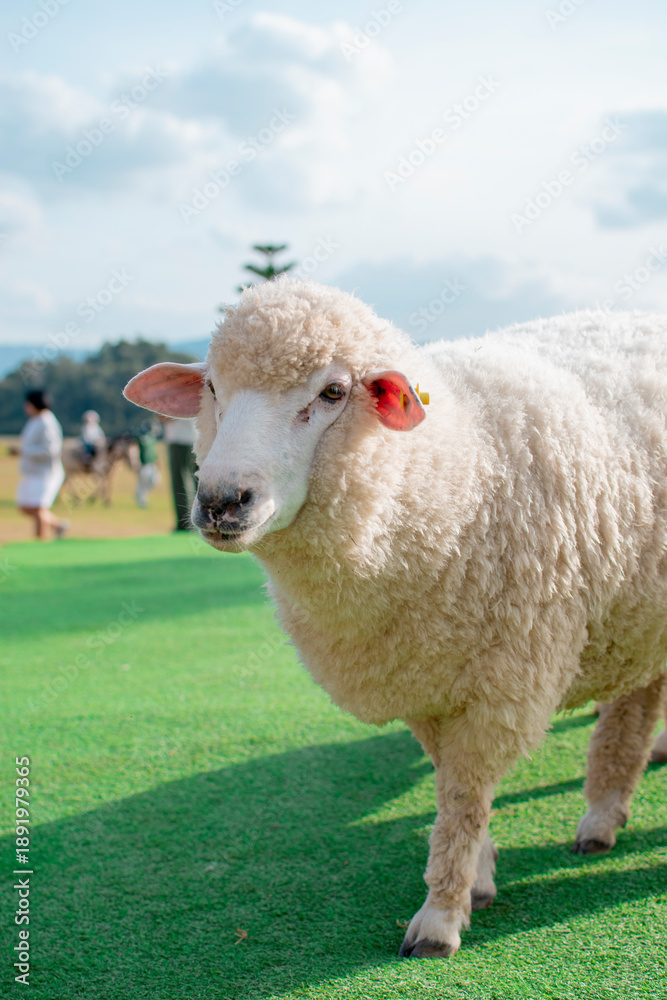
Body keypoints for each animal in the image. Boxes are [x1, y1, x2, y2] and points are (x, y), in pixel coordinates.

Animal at [124, 278, 667, 959]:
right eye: (212, 389)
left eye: (333, 392)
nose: (221, 501)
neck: (451, 477)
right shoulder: (422, 677)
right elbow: (450, 786)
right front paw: (477, 876)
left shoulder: (501, 686)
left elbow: (461, 795)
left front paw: (440, 917)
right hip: (637, 608)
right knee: (638, 698)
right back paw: (608, 808)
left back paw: (601, 811)